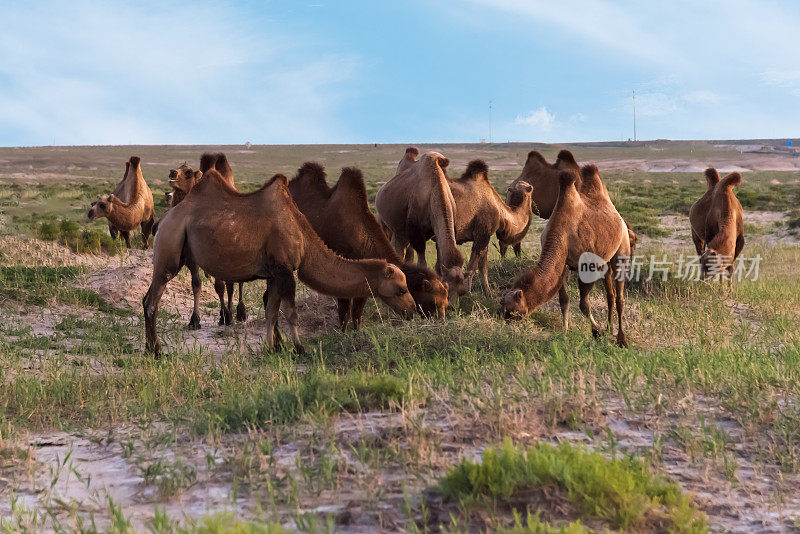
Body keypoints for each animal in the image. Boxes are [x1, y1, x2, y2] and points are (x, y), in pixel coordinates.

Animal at [144, 170, 416, 358]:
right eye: (402, 288)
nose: (413, 310)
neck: (305, 239)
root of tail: (163, 220)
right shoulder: (285, 269)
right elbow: (290, 313)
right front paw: (299, 348)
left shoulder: (275, 272)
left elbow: (271, 311)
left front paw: (272, 348)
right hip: (170, 244)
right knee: (152, 301)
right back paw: (157, 351)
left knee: (148, 297)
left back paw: (149, 349)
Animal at [288, 162, 450, 330]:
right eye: (434, 302)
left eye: (446, 302)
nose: (441, 321)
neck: (359, 237)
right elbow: (344, 310)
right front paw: (343, 332)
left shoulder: (366, 277)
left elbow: (357, 311)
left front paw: (356, 331)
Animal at [376, 149, 468, 296]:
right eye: (447, 287)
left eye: (462, 292)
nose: (451, 303)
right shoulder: (416, 231)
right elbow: (422, 263)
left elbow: (438, 263)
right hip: (387, 225)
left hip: (400, 232)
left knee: (401, 249)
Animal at [446, 160, 536, 294]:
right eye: (529, 189)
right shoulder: (482, 234)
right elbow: (471, 268)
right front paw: (468, 293)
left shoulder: (486, 235)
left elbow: (483, 267)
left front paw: (488, 293)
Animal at [500, 165, 632, 350]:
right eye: (504, 308)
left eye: (513, 310)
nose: (507, 322)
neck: (560, 234)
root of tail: (618, 216)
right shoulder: (563, 264)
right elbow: (564, 300)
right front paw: (565, 331)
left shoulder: (587, 267)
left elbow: (583, 304)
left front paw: (597, 332)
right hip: (605, 260)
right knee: (610, 295)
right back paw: (610, 329)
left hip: (622, 250)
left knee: (619, 296)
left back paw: (621, 339)